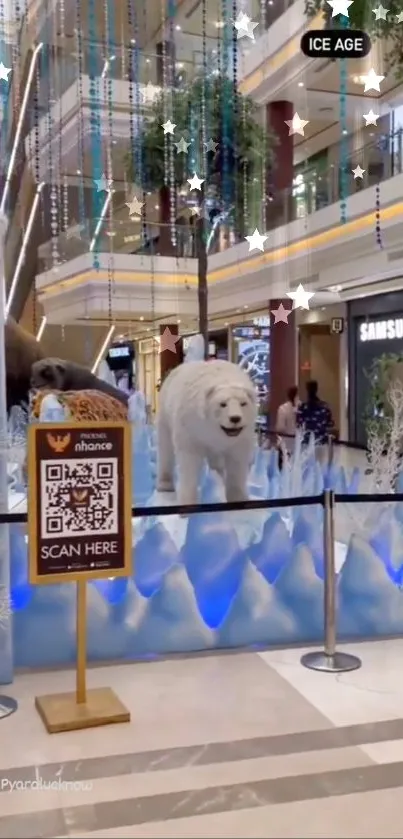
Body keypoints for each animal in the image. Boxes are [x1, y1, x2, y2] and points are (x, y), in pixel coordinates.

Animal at [156, 360, 258, 506]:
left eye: (243, 403)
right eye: (223, 404)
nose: (235, 418)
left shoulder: (241, 437)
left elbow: (237, 461)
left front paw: (239, 499)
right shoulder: (191, 427)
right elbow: (189, 460)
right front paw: (188, 502)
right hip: (165, 413)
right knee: (166, 447)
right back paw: (165, 485)